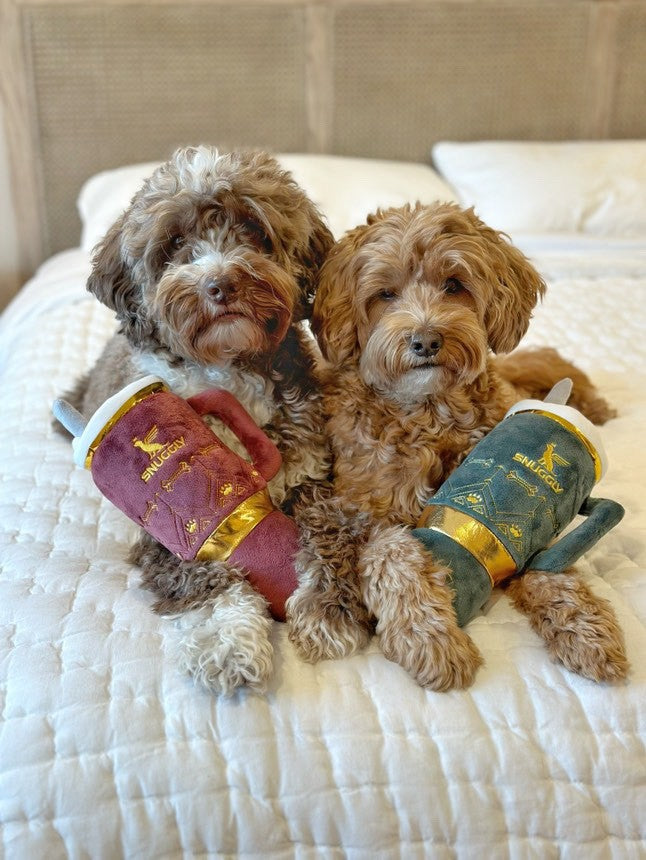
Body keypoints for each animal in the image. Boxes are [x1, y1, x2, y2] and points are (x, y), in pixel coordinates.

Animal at [60, 145, 335, 694]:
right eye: (174, 243)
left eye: (253, 229)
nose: (221, 283)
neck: (227, 368)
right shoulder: (170, 532)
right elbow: (212, 582)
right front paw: (230, 642)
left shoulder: (310, 474)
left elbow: (319, 535)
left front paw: (321, 608)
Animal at [286, 202, 628, 690]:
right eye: (385, 294)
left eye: (454, 284)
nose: (426, 340)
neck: (428, 412)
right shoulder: (362, 510)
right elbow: (393, 556)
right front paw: (431, 638)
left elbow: (550, 566)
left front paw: (583, 624)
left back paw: (593, 404)